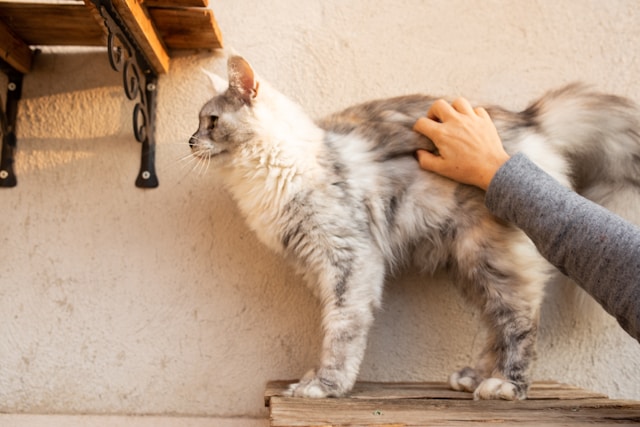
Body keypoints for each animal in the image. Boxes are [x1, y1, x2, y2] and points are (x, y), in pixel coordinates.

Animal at [189, 56, 640, 402]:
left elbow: (341, 330)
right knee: (495, 324)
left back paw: (506, 387)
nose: (190, 141)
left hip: (489, 257)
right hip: (469, 265)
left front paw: (326, 385)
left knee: (519, 321)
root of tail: (529, 120)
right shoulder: (316, 262)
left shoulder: (350, 259)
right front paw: (317, 379)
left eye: (211, 120)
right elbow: (335, 327)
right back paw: (475, 378)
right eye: (198, 122)